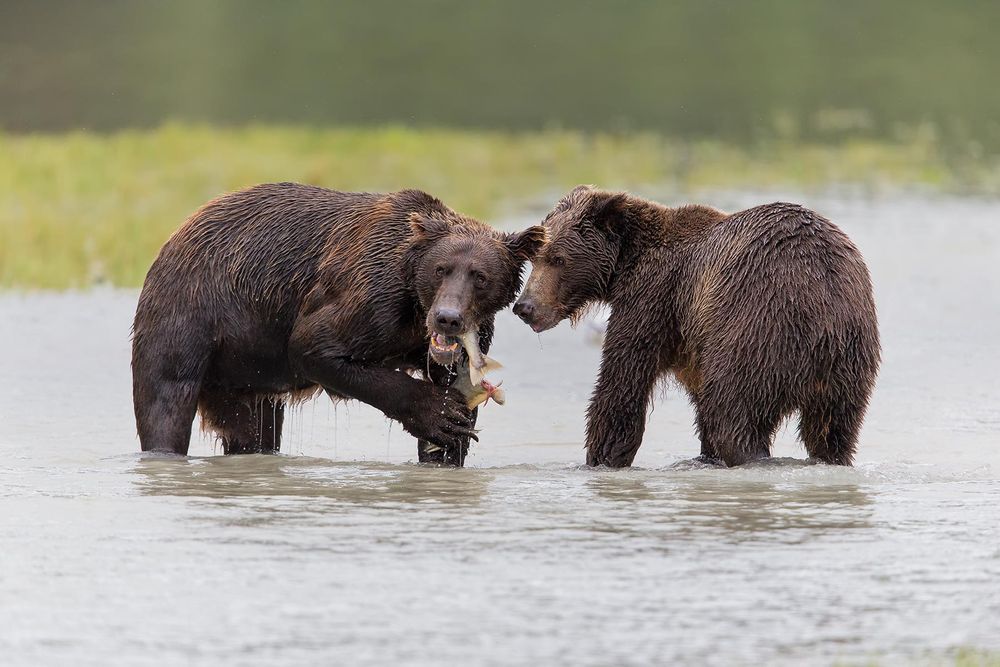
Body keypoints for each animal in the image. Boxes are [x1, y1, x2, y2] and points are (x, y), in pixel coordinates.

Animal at [132, 182, 546, 465]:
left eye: (481, 277)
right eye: (441, 269)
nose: (448, 318)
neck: (414, 307)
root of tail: (176, 233)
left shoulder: (464, 340)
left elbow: (455, 388)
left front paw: (449, 440)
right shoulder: (370, 297)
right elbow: (315, 346)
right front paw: (439, 415)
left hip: (243, 372)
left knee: (251, 426)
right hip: (193, 312)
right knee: (165, 397)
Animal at [513, 185, 880, 468]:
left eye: (558, 258)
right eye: (535, 256)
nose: (525, 307)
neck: (623, 266)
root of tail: (822, 314)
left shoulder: (653, 299)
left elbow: (623, 383)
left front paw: (601, 457)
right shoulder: (690, 341)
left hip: (757, 327)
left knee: (732, 412)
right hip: (849, 362)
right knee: (833, 430)